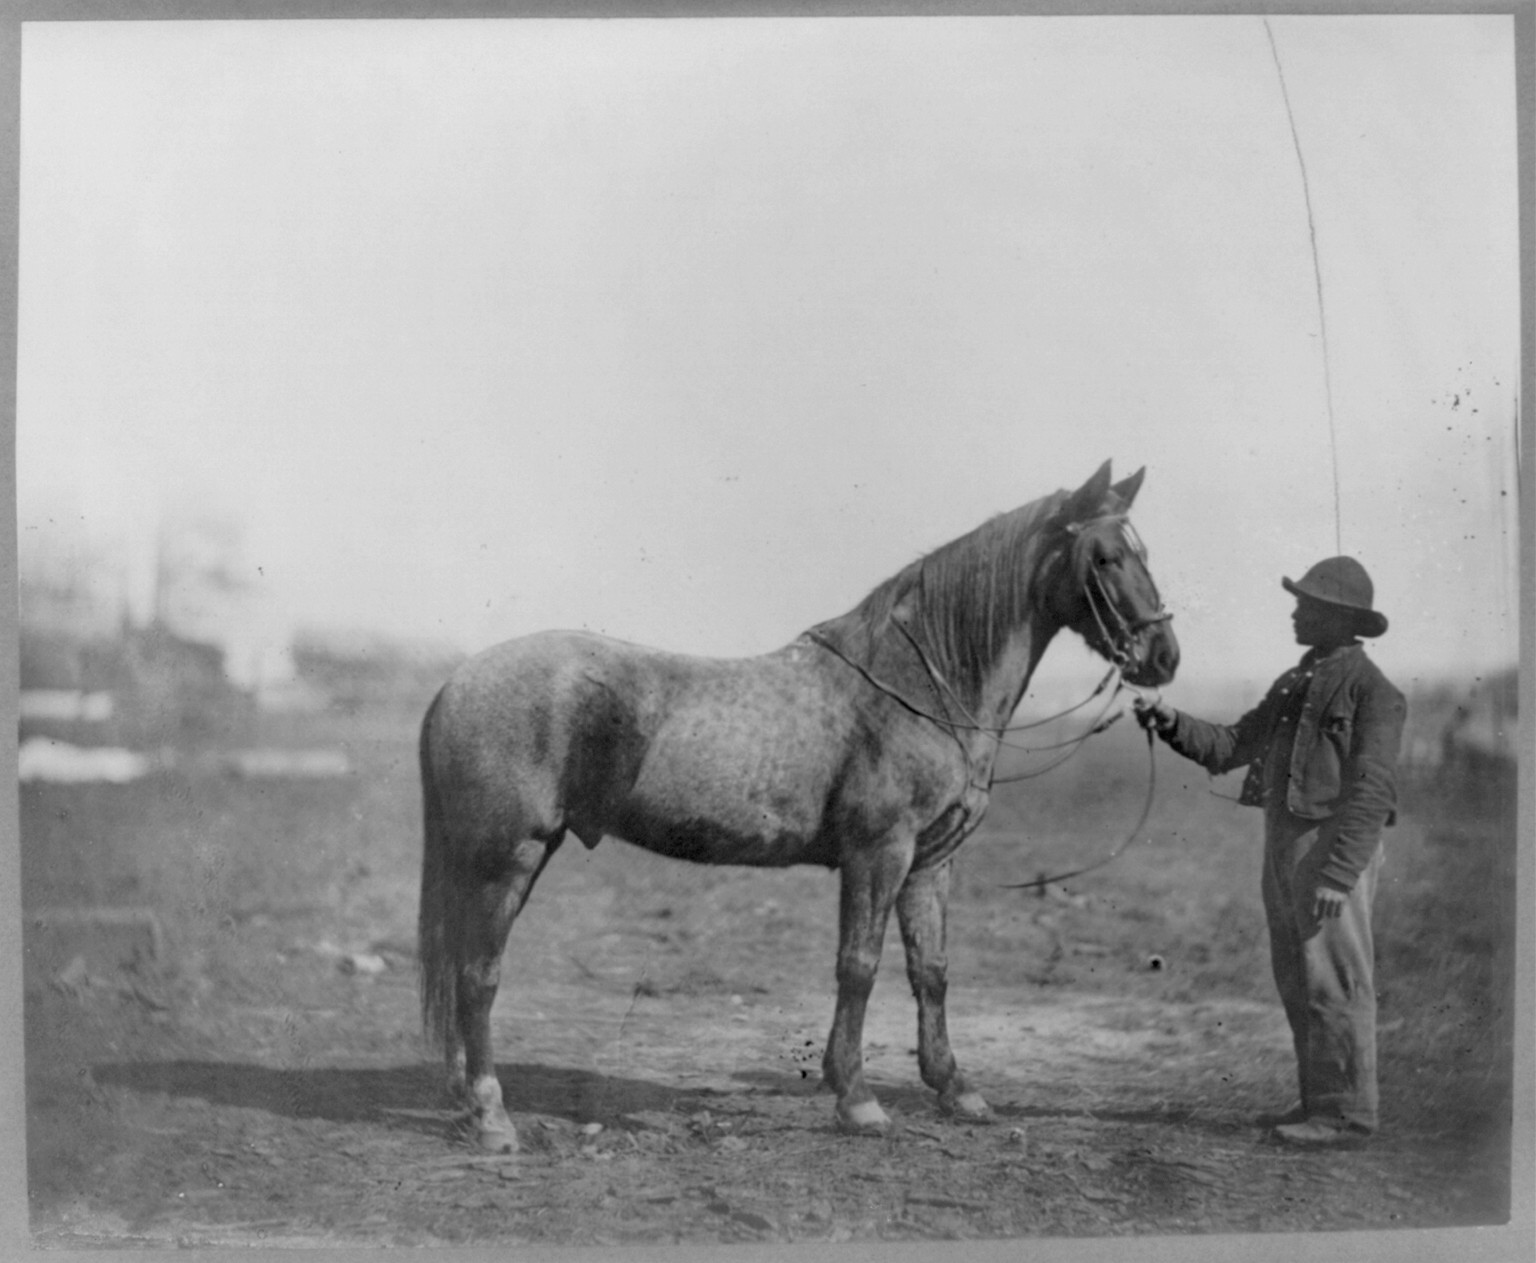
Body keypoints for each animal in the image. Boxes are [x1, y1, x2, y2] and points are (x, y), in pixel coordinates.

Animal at [417, 459, 1179, 1151]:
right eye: (1104, 557)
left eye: (1144, 552)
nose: (1164, 656)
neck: (921, 684)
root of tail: (454, 684)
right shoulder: (879, 853)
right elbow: (859, 967)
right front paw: (858, 1100)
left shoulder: (931, 862)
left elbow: (931, 971)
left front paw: (956, 1090)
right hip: (508, 857)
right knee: (479, 974)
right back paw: (491, 1115)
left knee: (460, 966)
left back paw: (462, 1097)